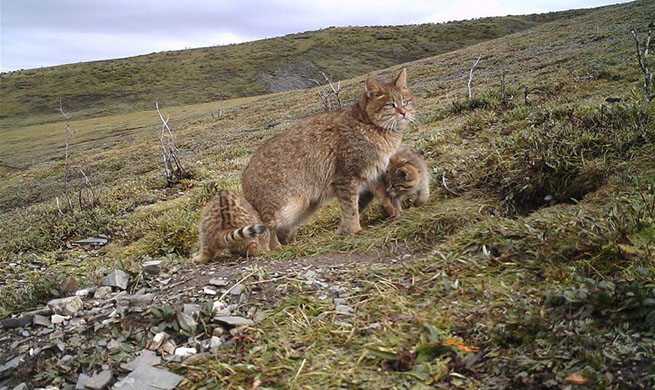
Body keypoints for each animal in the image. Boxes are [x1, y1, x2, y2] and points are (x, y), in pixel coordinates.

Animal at [243, 68, 418, 248]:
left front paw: (394, 212)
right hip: (285, 208)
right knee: (266, 228)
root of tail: (244, 176)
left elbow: (382, 195)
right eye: (390, 105)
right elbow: (351, 209)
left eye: (405, 102)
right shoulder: (346, 177)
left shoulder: (370, 173)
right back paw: (274, 248)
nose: (404, 113)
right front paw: (355, 230)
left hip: (304, 207)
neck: (371, 125)